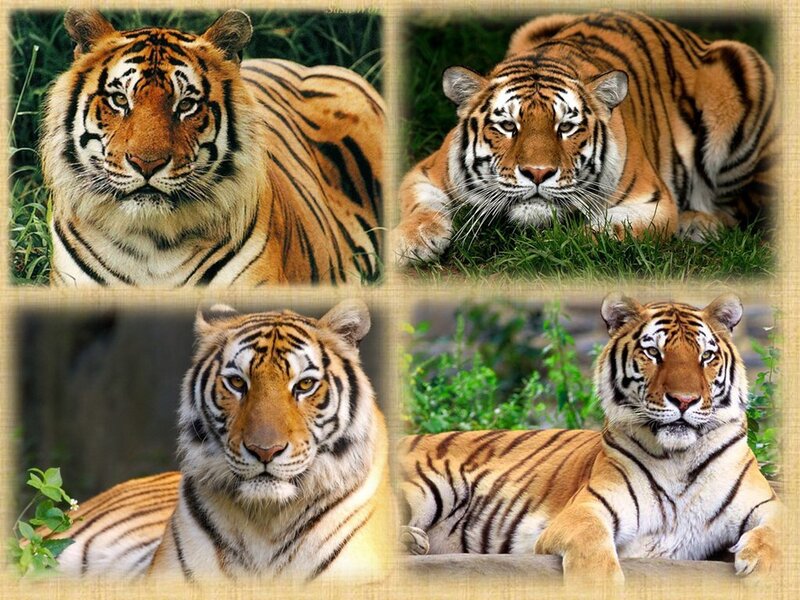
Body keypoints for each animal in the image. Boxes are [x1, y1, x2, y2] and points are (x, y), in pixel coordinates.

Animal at [394, 11, 776, 265]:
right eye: (508, 126)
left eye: (566, 127)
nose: (537, 173)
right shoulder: (425, 171)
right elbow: (420, 205)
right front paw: (413, 242)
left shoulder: (652, 202)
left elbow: (603, 233)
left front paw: (552, 250)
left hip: (744, 74)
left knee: (740, 207)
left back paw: (698, 224)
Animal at [399, 294, 780, 581]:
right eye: (653, 353)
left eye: (706, 356)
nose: (684, 400)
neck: (679, 458)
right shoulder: (585, 510)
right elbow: (594, 550)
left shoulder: (768, 504)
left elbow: (781, 529)